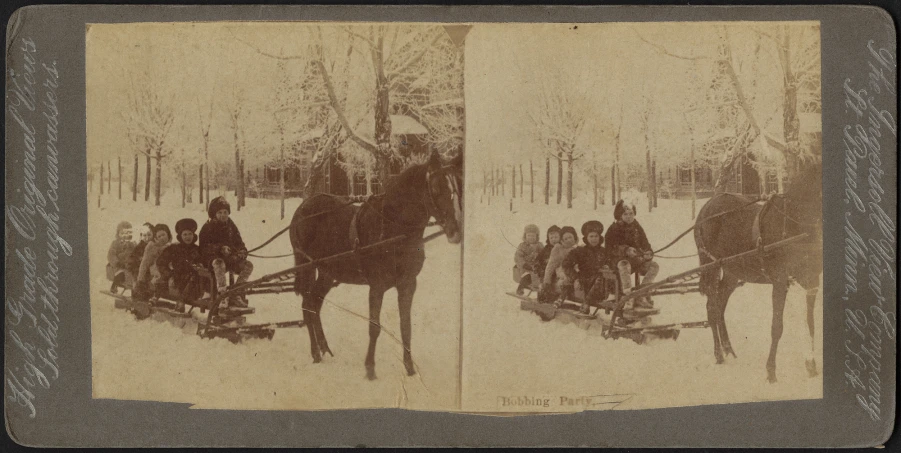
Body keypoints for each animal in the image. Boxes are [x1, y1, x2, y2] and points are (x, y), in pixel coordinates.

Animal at [288, 151, 460, 378]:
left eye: (454, 189)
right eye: (436, 189)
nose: (455, 231)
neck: (394, 229)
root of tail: (302, 208)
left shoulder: (408, 284)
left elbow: (406, 327)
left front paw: (410, 369)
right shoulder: (377, 286)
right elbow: (374, 327)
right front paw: (370, 369)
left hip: (327, 272)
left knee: (315, 305)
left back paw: (324, 348)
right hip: (306, 266)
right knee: (307, 306)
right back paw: (315, 353)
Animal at [696, 161, 824, 384]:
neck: (797, 221)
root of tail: (707, 206)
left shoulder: (812, 282)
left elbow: (811, 324)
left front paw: (811, 366)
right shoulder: (780, 281)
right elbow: (777, 327)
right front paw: (771, 371)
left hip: (732, 272)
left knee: (720, 306)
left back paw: (729, 349)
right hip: (710, 267)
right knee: (712, 308)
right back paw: (719, 354)